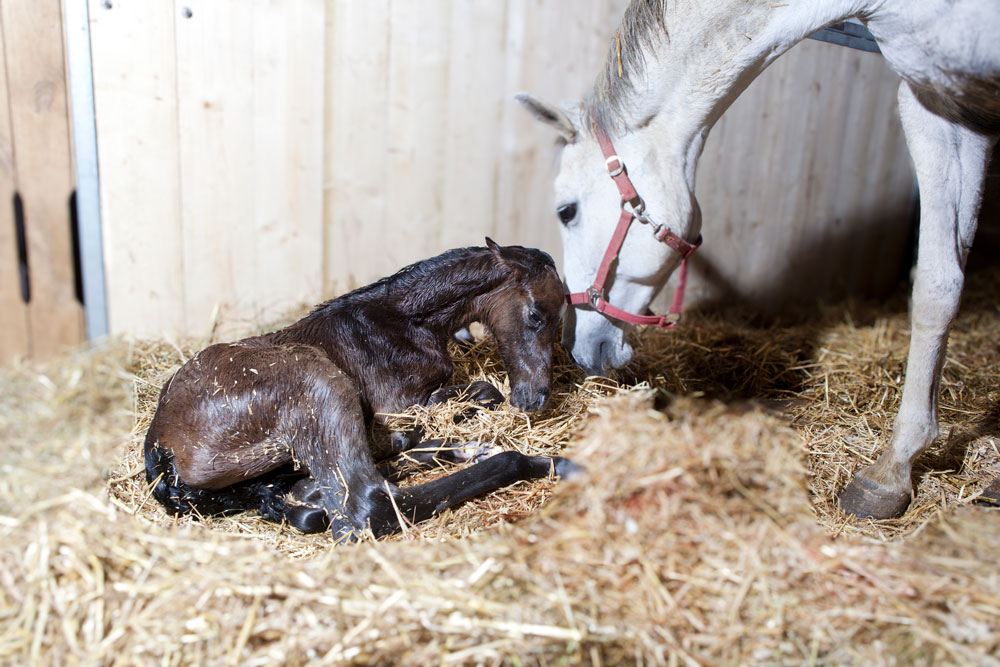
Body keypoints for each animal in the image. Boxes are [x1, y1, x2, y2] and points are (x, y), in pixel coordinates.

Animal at [144, 241, 576, 544]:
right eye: (536, 314)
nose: (536, 397)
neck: (403, 322)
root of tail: (159, 446)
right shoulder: (399, 405)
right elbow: (483, 392)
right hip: (317, 379)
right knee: (368, 503)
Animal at [520, 0, 996, 520]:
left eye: (566, 211)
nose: (577, 347)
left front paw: (890, 471)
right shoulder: (944, 104)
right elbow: (938, 284)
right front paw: (896, 470)